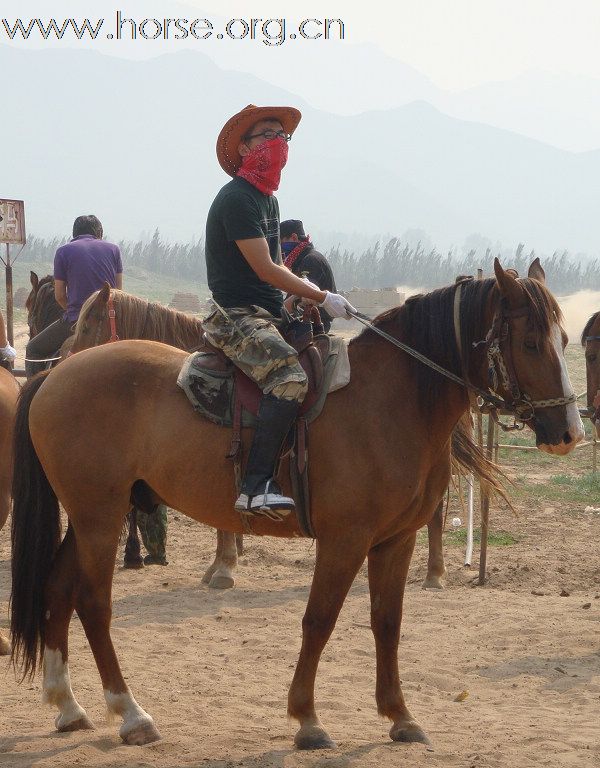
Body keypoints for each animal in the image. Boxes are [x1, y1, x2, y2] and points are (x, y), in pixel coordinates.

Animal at [9, 260, 580, 752]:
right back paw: (130, 713)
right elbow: (319, 620)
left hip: (90, 517)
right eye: (531, 342)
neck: (390, 399)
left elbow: (387, 622)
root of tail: (56, 376)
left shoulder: (395, 540)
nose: (569, 432)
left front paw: (399, 715)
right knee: (92, 603)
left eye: (564, 340)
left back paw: (68, 705)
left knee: (57, 589)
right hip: (99, 518)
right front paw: (307, 718)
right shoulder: (345, 539)